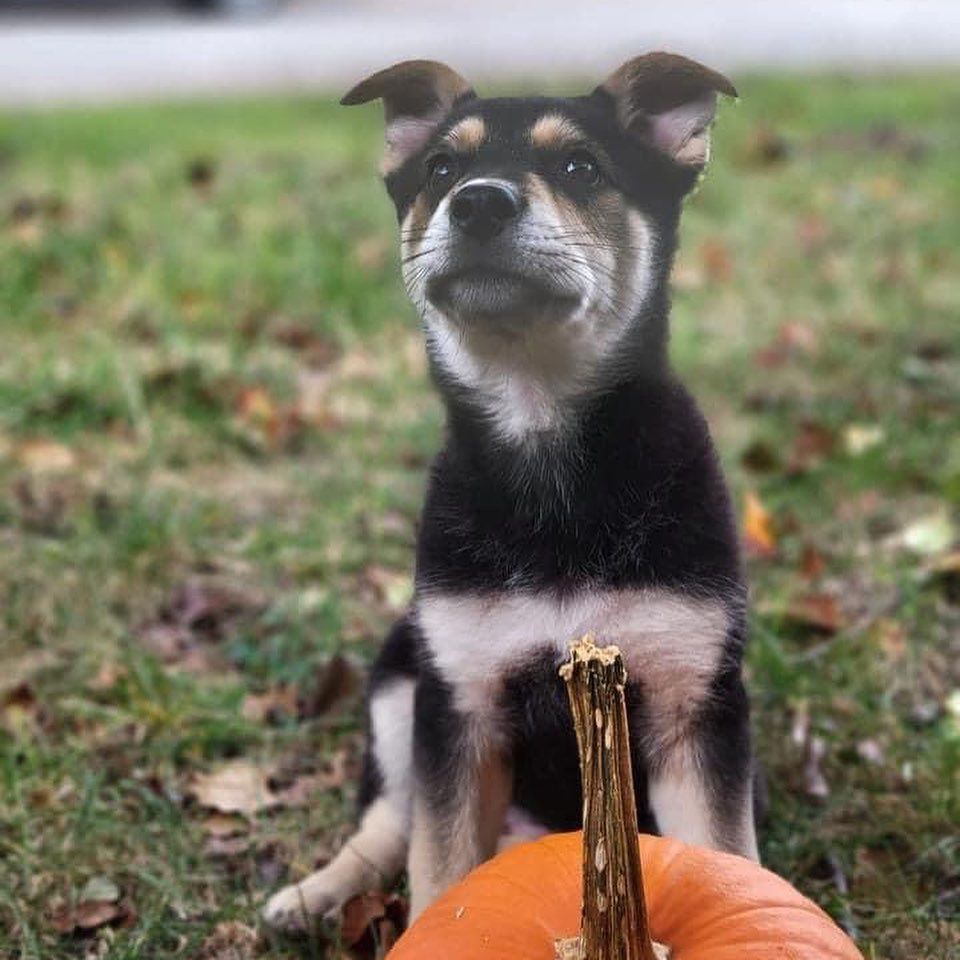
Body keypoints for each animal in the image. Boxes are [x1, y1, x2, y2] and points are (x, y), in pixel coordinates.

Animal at [264, 50, 756, 928]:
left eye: (581, 166)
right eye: (441, 168)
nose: (478, 202)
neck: (546, 441)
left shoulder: (693, 704)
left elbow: (727, 860)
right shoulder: (459, 704)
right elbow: (438, 874)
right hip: (400, 675)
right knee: (388, 820)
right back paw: (314, 893)